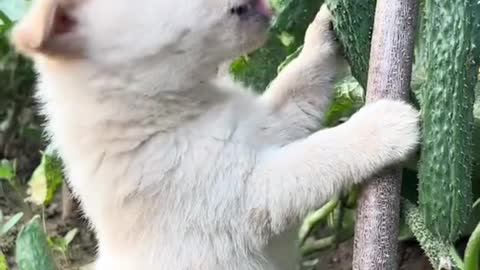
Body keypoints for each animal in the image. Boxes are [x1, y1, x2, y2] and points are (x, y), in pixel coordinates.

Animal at [9, 0, 418, 268]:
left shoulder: (270, 124)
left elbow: (298, 81)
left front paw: (323, 31)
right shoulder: (248, 193)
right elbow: (319, 153)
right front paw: (384, 125)